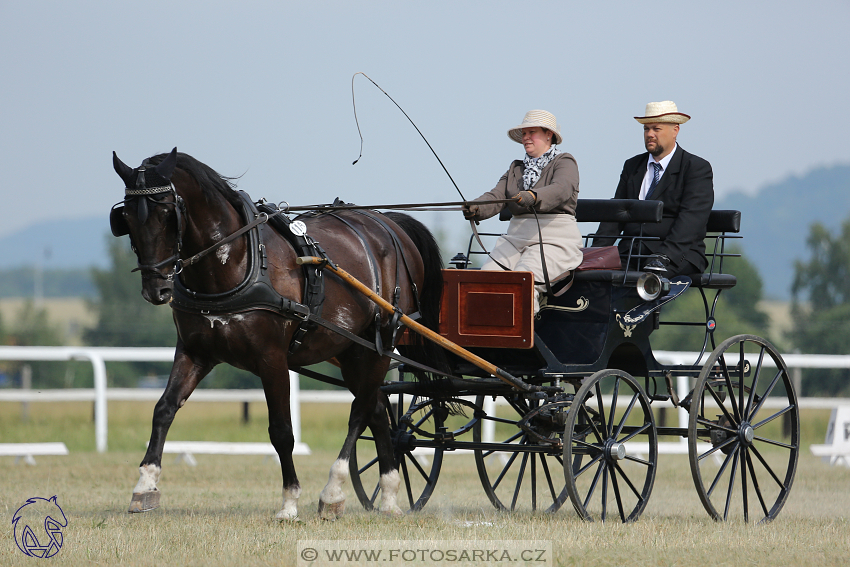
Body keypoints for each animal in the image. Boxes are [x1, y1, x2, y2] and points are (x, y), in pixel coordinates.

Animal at [111, 148, 444, 520]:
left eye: (168, 213)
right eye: (126, 217)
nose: (155, 290)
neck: (238, 260)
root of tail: (388, 223)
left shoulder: (271, 359)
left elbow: (282, 431)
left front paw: (289, 502)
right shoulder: (195, 352)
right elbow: (164, 409)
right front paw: (145, 484)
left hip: (379, 345)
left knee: (360, 411)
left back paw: (333, 490)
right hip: (351, 350)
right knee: (375, 409)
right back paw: (388, 495)